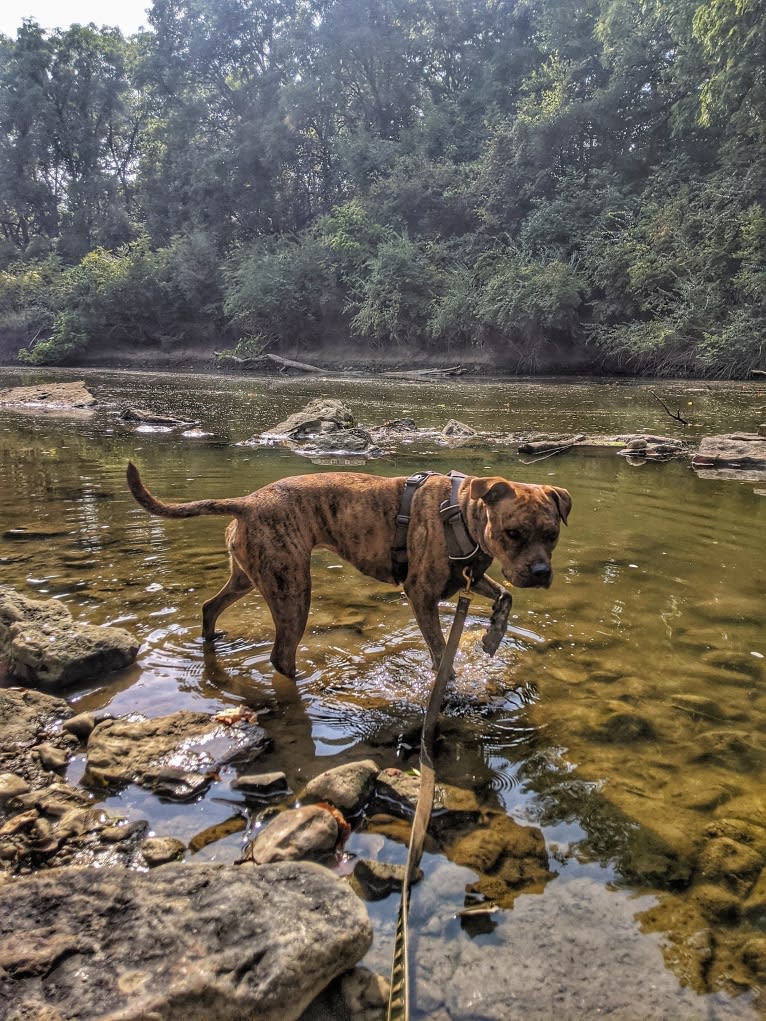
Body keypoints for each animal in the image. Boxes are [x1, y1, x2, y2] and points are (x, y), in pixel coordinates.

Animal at [127, 465, 571, 677]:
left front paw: (493, 638)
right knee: (280, 655)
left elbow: (505, 596)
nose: (540, 572)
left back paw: (210, 639)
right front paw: (448, 678)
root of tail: (247, 501)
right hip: (291, 591)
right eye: (513, 532)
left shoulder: (469, 578)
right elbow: (439, 649)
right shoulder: (422, 594)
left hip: (247, 577)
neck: (459, 511)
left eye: (551, 535)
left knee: (209, 606)